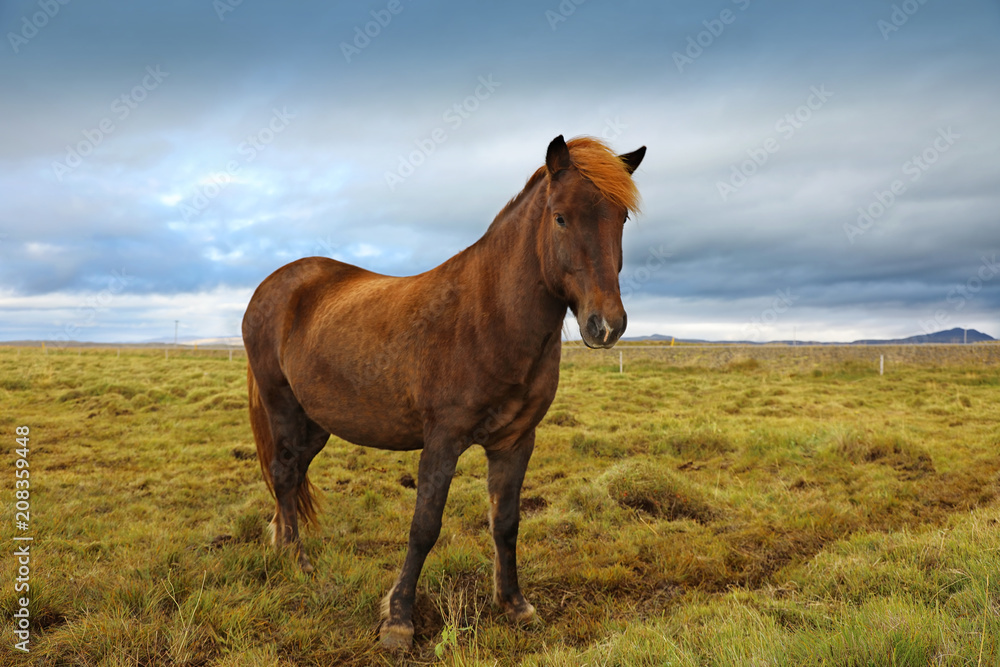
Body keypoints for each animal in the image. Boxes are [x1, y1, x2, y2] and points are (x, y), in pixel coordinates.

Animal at [246, 133, 644, 648]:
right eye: (560, 216)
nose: (606, 324)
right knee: (282, 473)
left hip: (316, 423)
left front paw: (514, 604)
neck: (487, 316)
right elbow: (424, 526)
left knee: (292, 478)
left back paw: (283, 547)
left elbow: (506, 523)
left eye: (621, 218)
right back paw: (298, 563)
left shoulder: (516, 441)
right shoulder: (441, 441)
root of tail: (275, 284)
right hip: (283, 407)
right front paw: (398, 619)